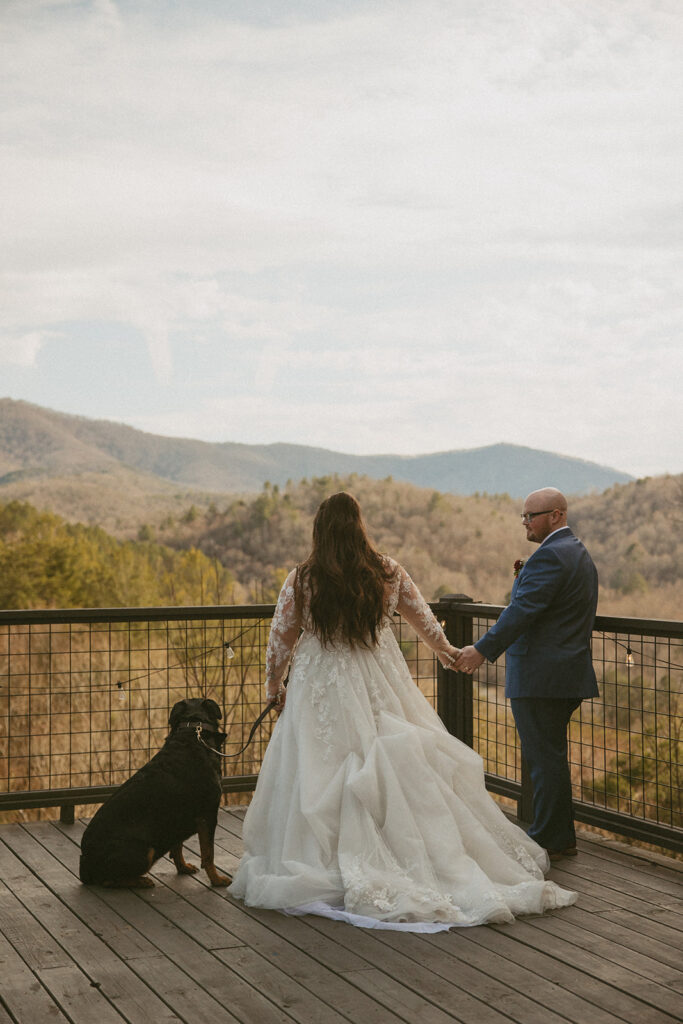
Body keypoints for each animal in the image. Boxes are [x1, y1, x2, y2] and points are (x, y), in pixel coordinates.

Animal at [80, 696, 232, 888]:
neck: (193, 730)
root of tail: (84, 864)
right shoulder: (208, 815)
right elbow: (208, 854)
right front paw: (217, 880)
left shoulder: (176, 817)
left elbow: (177, 846)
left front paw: (183, 867)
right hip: (145, 850)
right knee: (108, 880)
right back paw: (141, 880)